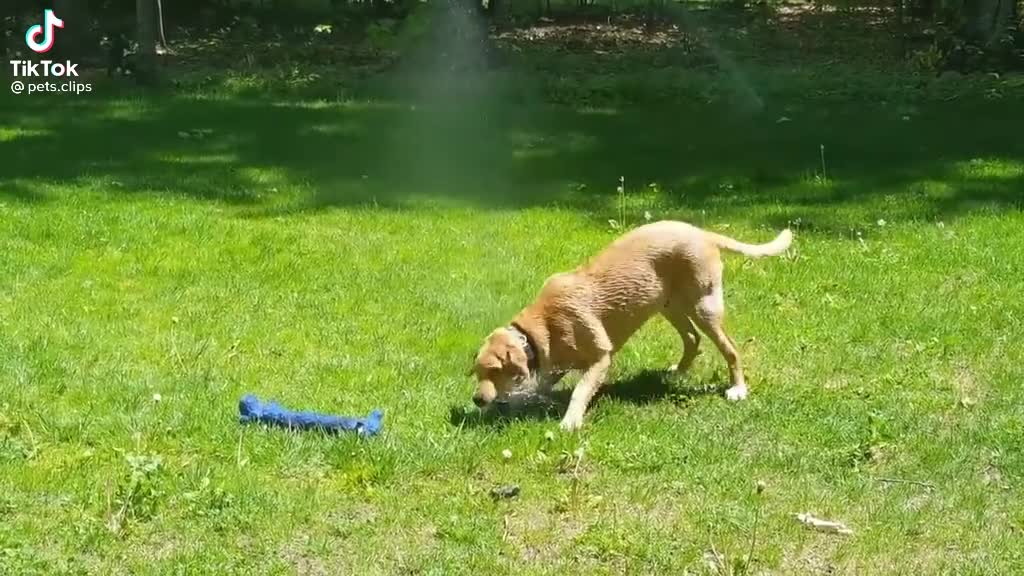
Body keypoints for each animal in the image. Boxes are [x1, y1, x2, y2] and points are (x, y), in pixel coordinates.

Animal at [468, 219, 790, 430]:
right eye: (478, 372)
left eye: (495, 370)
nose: (477, 400)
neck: (538, 328)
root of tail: (702, 232)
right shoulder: (554, 363)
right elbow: (541, 384)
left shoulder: (601, 357)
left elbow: (580, 390)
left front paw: (570, 420)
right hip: (669, 305)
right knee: (691, 338)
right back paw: (678, 371)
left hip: (704, 307)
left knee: (730, 350)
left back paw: (738, 388)